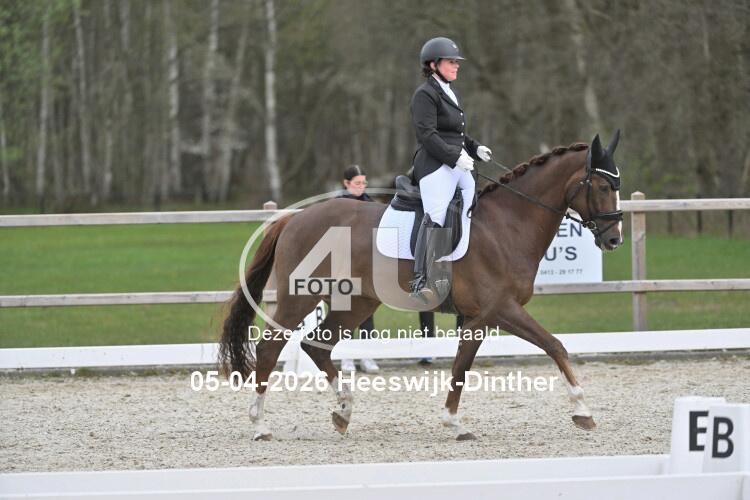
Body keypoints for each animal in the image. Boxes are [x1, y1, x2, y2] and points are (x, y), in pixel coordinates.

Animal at [219, 132, 624, 441]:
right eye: (604, 185)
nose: (614, 239)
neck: (507, 224)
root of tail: (294, 217)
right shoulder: (499, 309)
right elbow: (551, 346)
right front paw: (582, 410)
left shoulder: (482, 318)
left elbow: (466, 366)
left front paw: (455, 422)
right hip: (300, 296)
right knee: (270, 349)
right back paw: (260, 425)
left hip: (358, 301)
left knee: (317, 345)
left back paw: (344, 412)